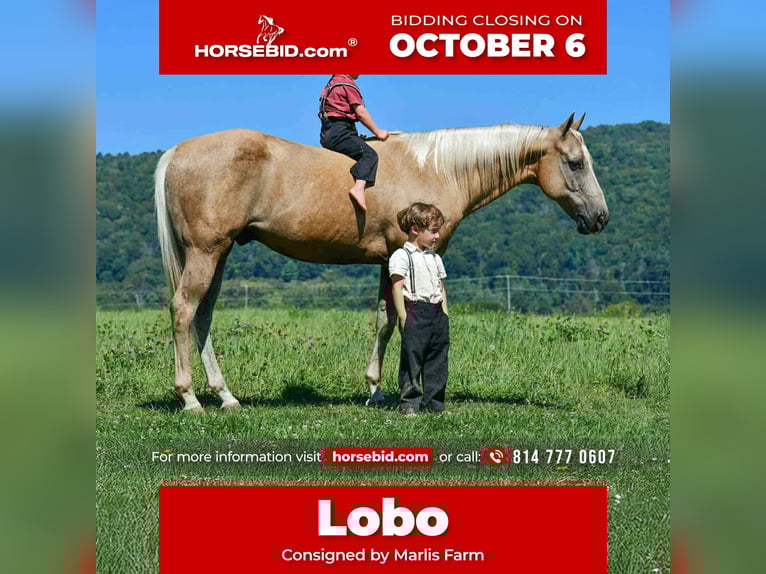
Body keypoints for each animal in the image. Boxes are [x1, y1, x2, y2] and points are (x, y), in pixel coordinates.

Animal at [154, 113, 609, 412]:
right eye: (575, 163)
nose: (600, 218)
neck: (437, 168)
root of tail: (176, 152)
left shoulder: (386, 260)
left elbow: (384, 322)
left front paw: (375, 389)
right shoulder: (407, 256)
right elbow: (406, 319)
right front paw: (411, 392)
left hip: (219, 253)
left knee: (203, 316)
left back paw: (225, 396)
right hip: (206, 252)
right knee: (184, 310)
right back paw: (190, 398)